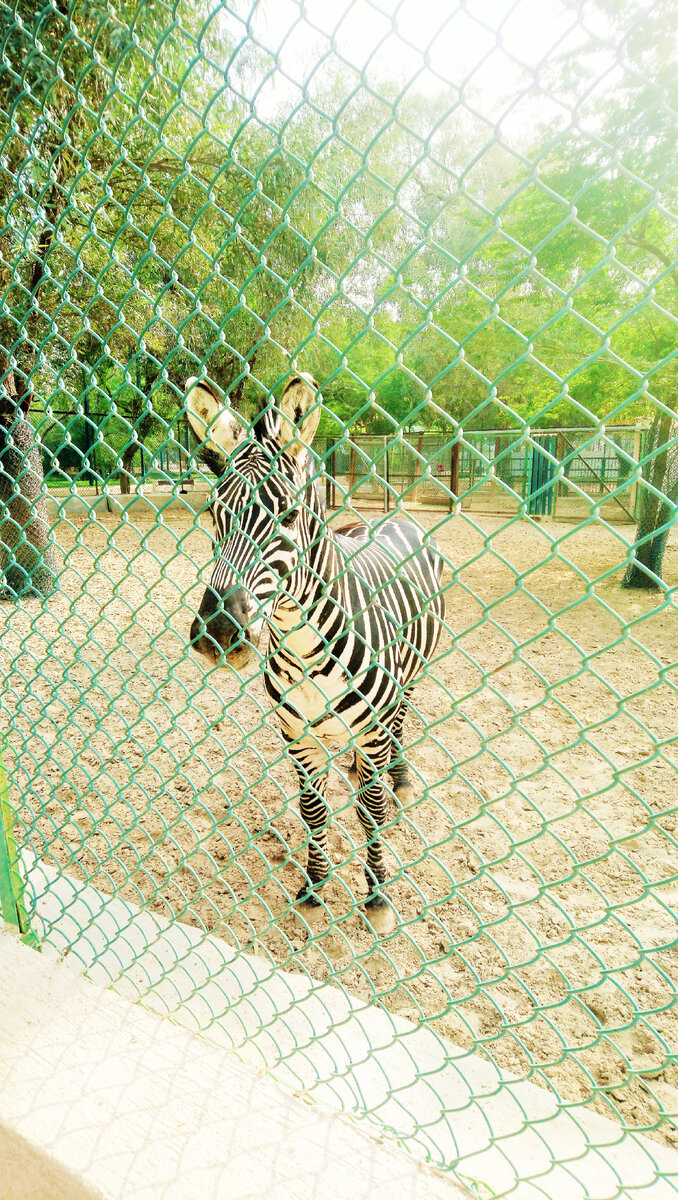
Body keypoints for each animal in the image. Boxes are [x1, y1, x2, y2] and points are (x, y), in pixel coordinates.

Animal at [187, 369, 446, 931]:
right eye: (213, 513)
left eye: (286, 514)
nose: (218, 633)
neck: (304, 644)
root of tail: (394, 516)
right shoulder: (296, 736)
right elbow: (313, 811)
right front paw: (314, 884)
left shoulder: (369, 728)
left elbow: (370, 811)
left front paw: (377, 896)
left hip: (412, 673)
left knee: (402, 717)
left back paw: (398, 775)